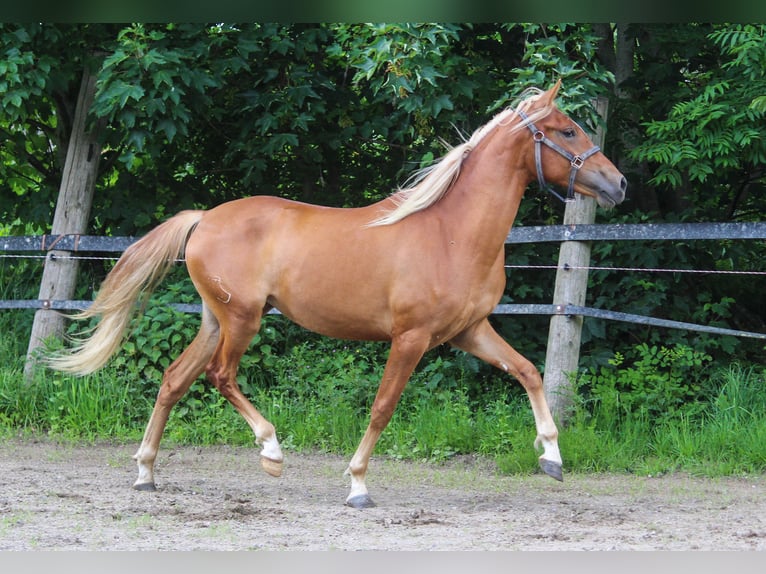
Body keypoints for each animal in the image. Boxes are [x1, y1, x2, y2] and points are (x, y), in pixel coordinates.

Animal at [48, 81, 628, 508]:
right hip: (244, 321)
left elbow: (529, 372)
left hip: (217, 319)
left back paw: (146, 472)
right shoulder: (411, 338)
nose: (619, 184)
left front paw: (551, 457)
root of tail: (204, 218)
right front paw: (357, 484)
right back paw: (271, 451)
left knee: (173, 380)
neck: (452, 233)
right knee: (220, 377)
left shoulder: (468, 331)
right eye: (568, 130)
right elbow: (383, 407)